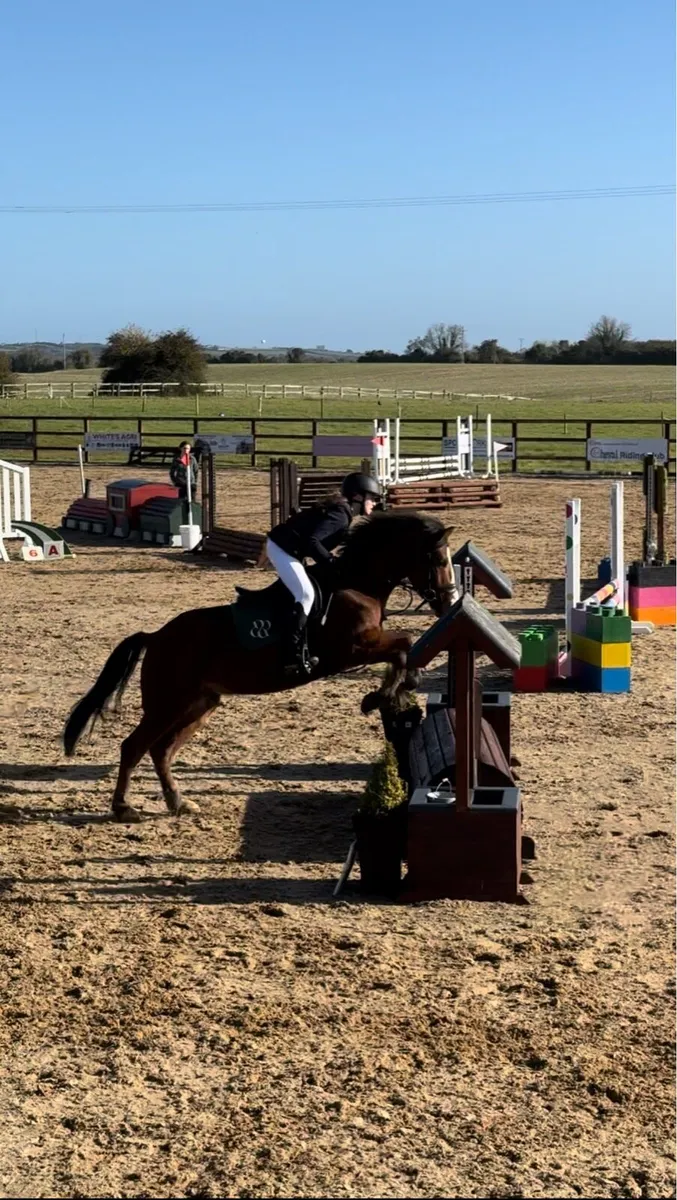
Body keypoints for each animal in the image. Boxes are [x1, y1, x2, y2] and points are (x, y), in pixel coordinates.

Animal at [63, 510, 457, 822]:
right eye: (439, 561)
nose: (448, 602)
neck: (357, 582)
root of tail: (157, 636)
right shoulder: (352, 649)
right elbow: (404, 644)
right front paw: (382, 696)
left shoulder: (363, 647)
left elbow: (404, 648)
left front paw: (391, 692)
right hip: (166, 705)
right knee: (133, 747)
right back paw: (123, 808)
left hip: (199, 704)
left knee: (161, 751)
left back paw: (178, 803)